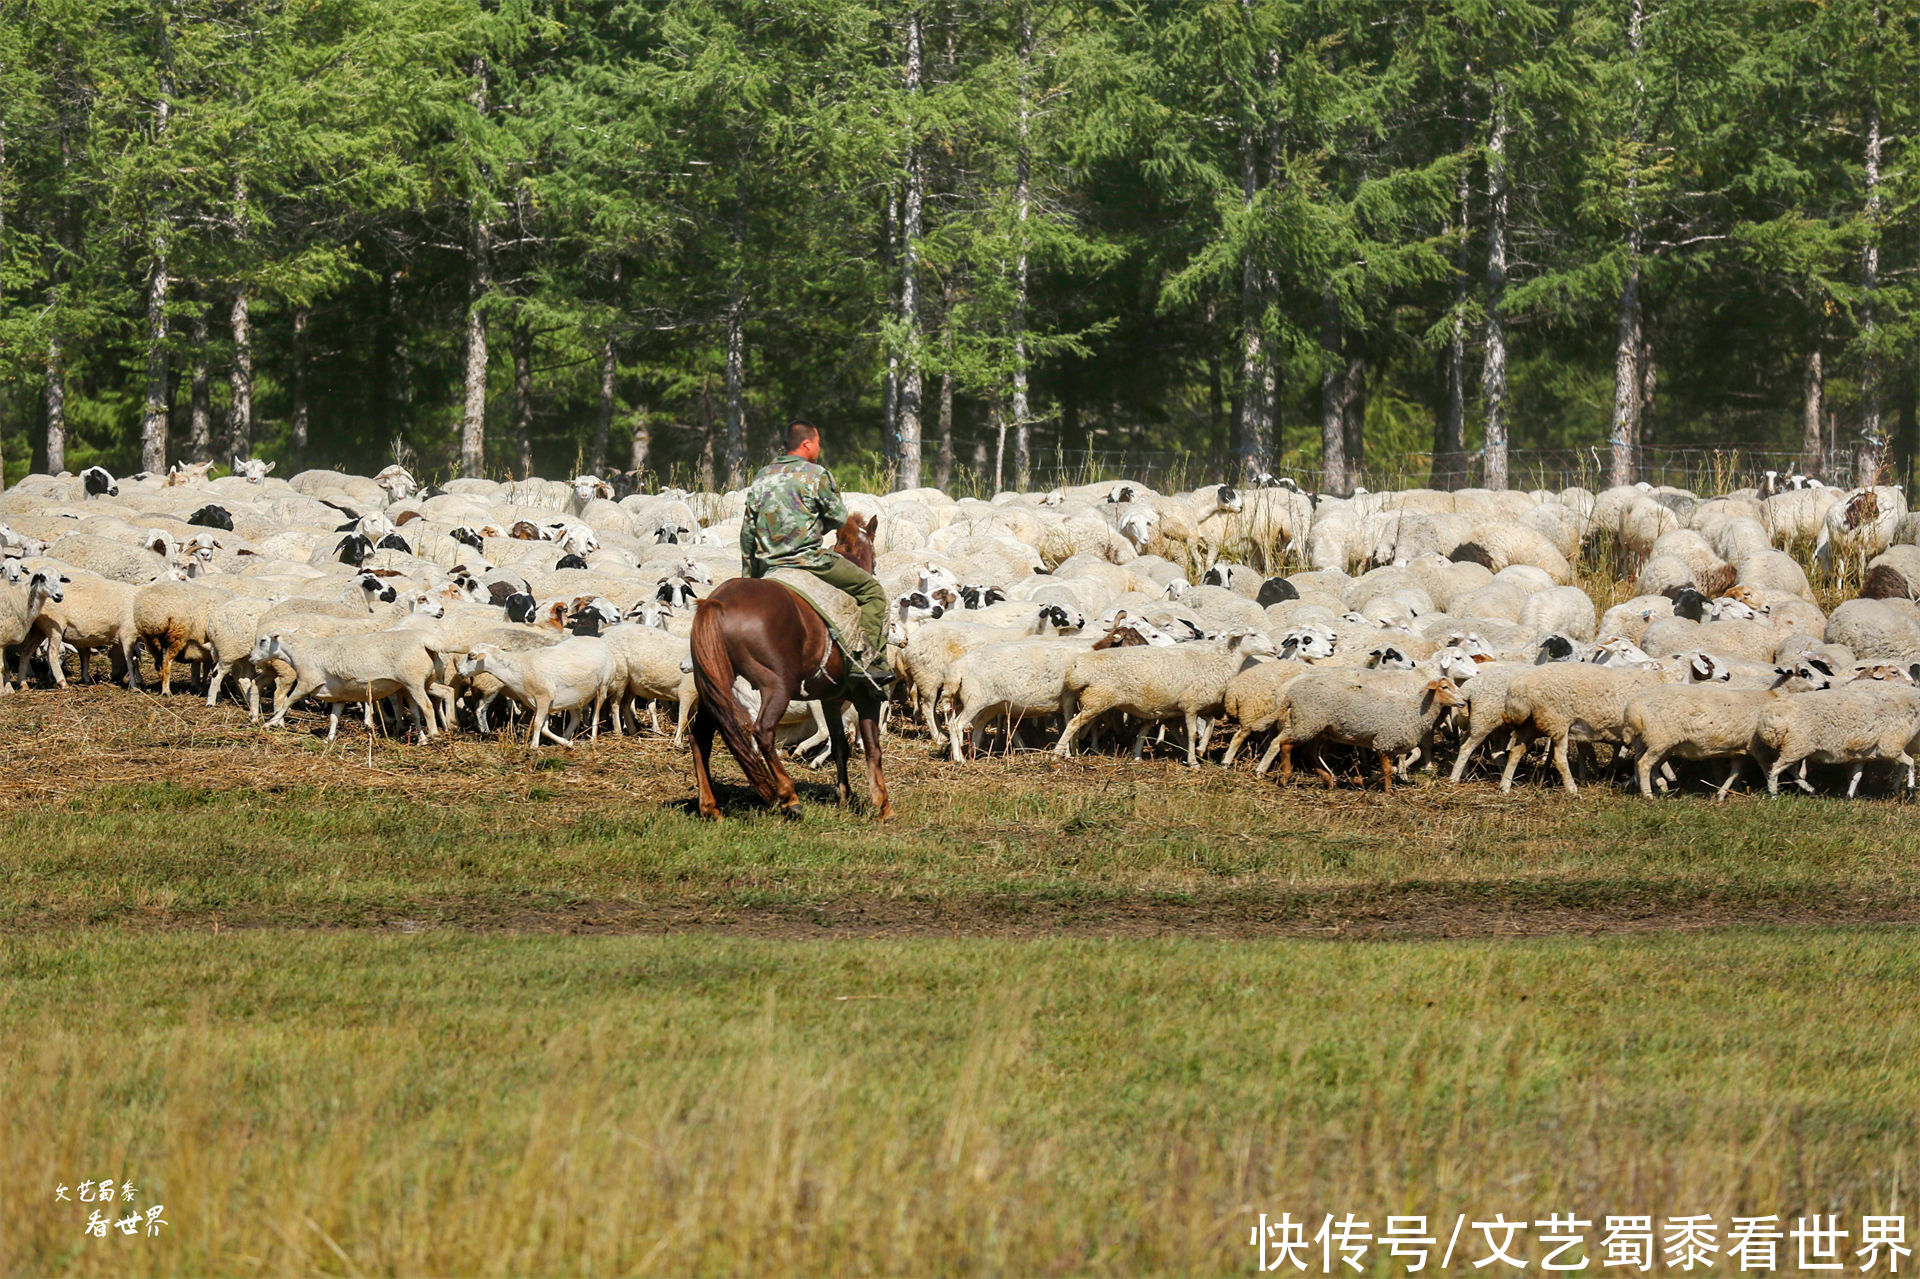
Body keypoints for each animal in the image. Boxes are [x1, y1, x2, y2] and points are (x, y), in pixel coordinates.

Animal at [691, 514, 890, 821]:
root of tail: (716, 602)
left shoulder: (831, 698)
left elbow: (840, 745)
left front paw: (844, 796)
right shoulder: (866, 694)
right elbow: (872, 748)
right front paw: (882, 803)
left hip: (713, 688)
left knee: (699, 737)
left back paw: (710, 806)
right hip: (776, 687)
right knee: (762, 732)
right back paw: (788, 795)